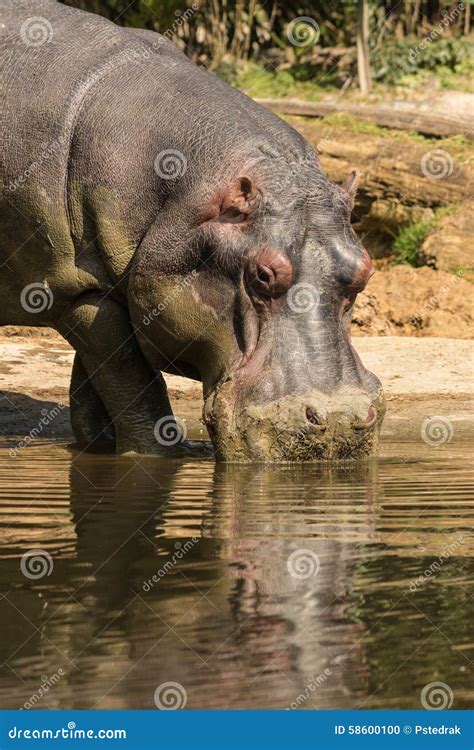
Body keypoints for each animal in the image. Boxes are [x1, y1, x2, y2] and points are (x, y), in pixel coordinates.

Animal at [0, 0, 386, 462]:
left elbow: (95, 387)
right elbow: (134, 386)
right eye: (262, 274)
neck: (186, 198)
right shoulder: (78, 292)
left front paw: (99, 443)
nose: (339, 422)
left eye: (366, 270)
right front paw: (158, 453)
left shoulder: (105, 292)